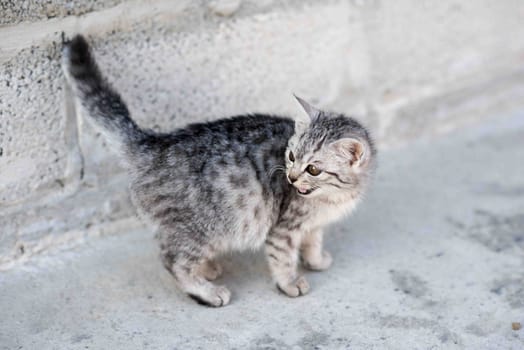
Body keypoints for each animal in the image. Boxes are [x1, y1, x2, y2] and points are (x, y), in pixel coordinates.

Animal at [61, 33, 374, 306]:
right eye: (292, 155)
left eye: (313, 169)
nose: (291, 176)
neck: (332, 198)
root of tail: (153, 142)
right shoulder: (283, 228)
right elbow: (283, 258)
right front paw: (290, 283)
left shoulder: (313, 225)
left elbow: (313, 241)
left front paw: (316, 260)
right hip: (202, 228)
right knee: (173, 260)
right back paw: (208, 291)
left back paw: (207, 269)